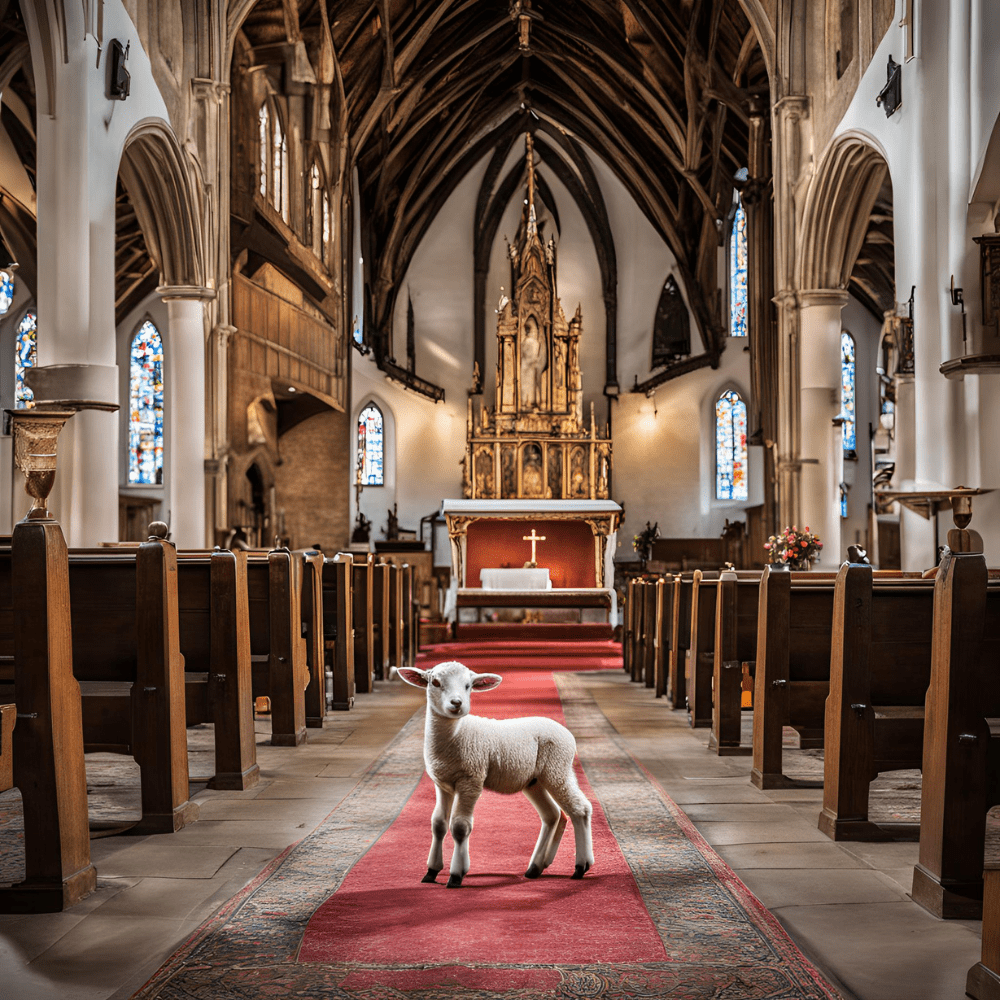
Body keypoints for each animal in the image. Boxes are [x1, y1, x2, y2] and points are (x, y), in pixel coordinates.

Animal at [398, 660, 594, 888]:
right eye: (435, 683)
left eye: (468, 686)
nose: (457, 703)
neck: (456, 734)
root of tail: (567, 733)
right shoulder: (442, 783)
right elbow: (438, 824)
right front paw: (431, 871)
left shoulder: (471, 779)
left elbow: (460, 827)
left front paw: (456, 875)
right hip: (535, 781)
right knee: (552, 815)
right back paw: (535, 868)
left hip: (557, 769)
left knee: (580, 810)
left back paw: (581, 866)